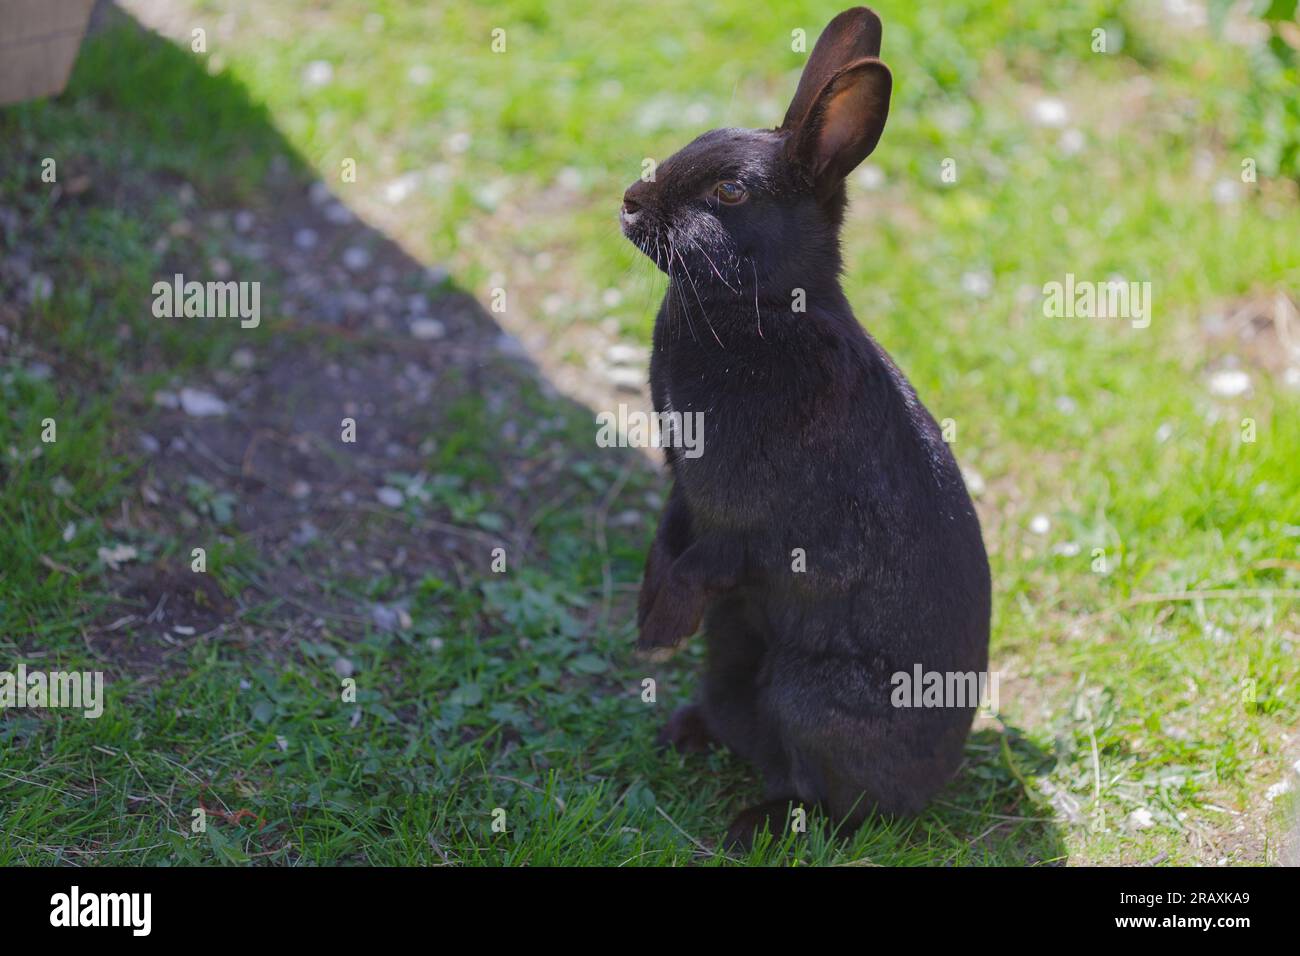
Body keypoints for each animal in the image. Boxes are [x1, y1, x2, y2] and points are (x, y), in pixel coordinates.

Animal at [621, 6, 992, 849]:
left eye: (729, 191)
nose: (628, 201)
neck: (759, 312)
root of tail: (937, 780)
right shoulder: (685, 487)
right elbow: (669, 538)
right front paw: (646, 613)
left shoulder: (759, 526)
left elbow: (706, 563)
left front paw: (659, 630)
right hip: (735, 655)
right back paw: (688, 734)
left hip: (808, 694)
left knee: (839, 810)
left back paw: (752, 824)